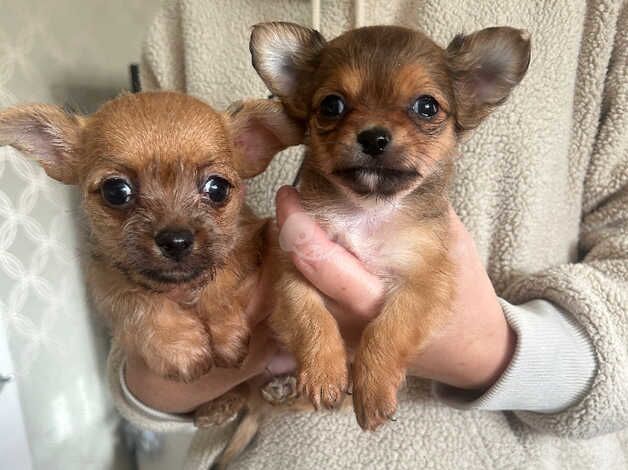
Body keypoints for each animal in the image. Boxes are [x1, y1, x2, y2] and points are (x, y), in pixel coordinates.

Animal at [0, 91, 302, 422]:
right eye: (116, 191)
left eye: (218, 188)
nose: (176, 240)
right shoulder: (108, 282)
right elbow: (140, 302)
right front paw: (180, 347)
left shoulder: (248, 241)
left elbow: (220, 276)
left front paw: (226, 333)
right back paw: (223, 405)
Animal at [250, 23, 528, 432]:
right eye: (331, 105)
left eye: (426, 106)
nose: (374, 136)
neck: (369, 211)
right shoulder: (291, 267)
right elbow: (309, 318)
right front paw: (322, 372)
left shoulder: (425, 283)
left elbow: (387, 330)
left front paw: (374, 388)